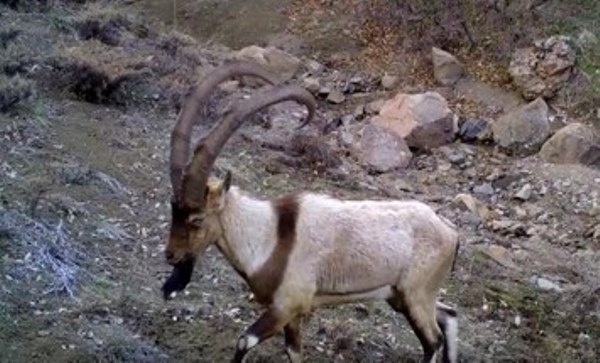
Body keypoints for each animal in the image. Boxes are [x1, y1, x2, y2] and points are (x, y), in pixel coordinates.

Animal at [159, 61, 460, 362]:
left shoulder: (288, 305)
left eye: (197, 219)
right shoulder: (291, 316)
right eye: (173, 209)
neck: (270, 237)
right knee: (449, 315)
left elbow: (244, 340)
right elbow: (293, 351)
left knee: (433, 340)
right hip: (402, 296)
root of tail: (451, 232)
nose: (171, 255)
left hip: (416, 295)